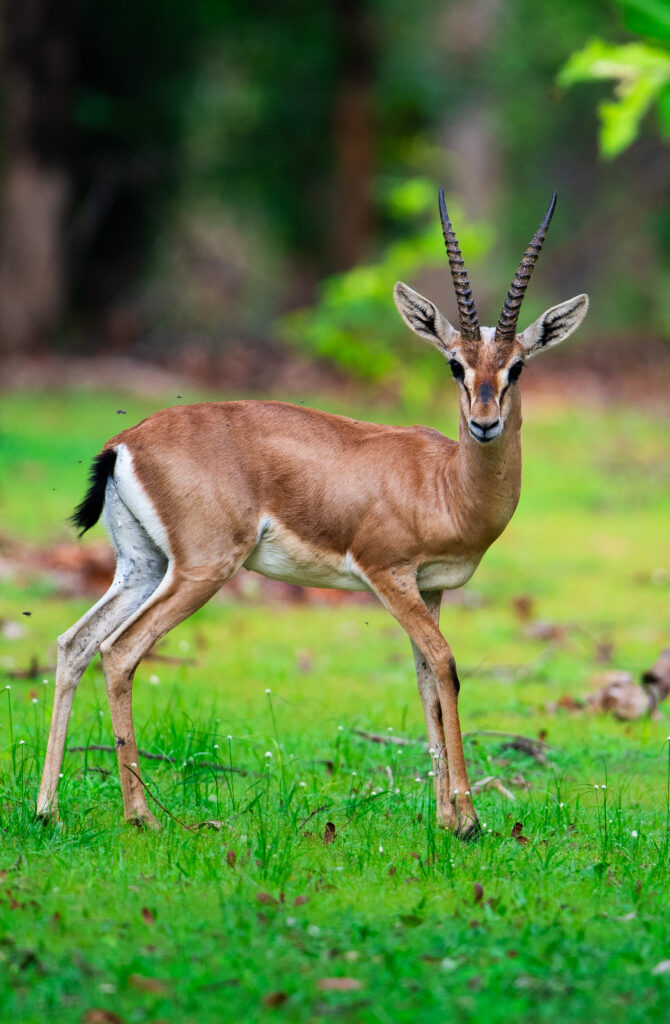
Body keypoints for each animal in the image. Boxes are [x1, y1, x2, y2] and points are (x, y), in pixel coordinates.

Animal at [39, 192, 590, 839]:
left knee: (75, 644)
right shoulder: (388, 576)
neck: (445, 484)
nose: (485, 424)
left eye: (518, 366)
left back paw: (47, 809)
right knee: (120, 651)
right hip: (201, 570)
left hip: (143, 567)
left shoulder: (429, 589)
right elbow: (447, 665)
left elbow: (426, 679)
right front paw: (467, 820)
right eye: (455, 364)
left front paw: (442, 816)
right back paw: (142, 816)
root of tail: (125, 443)